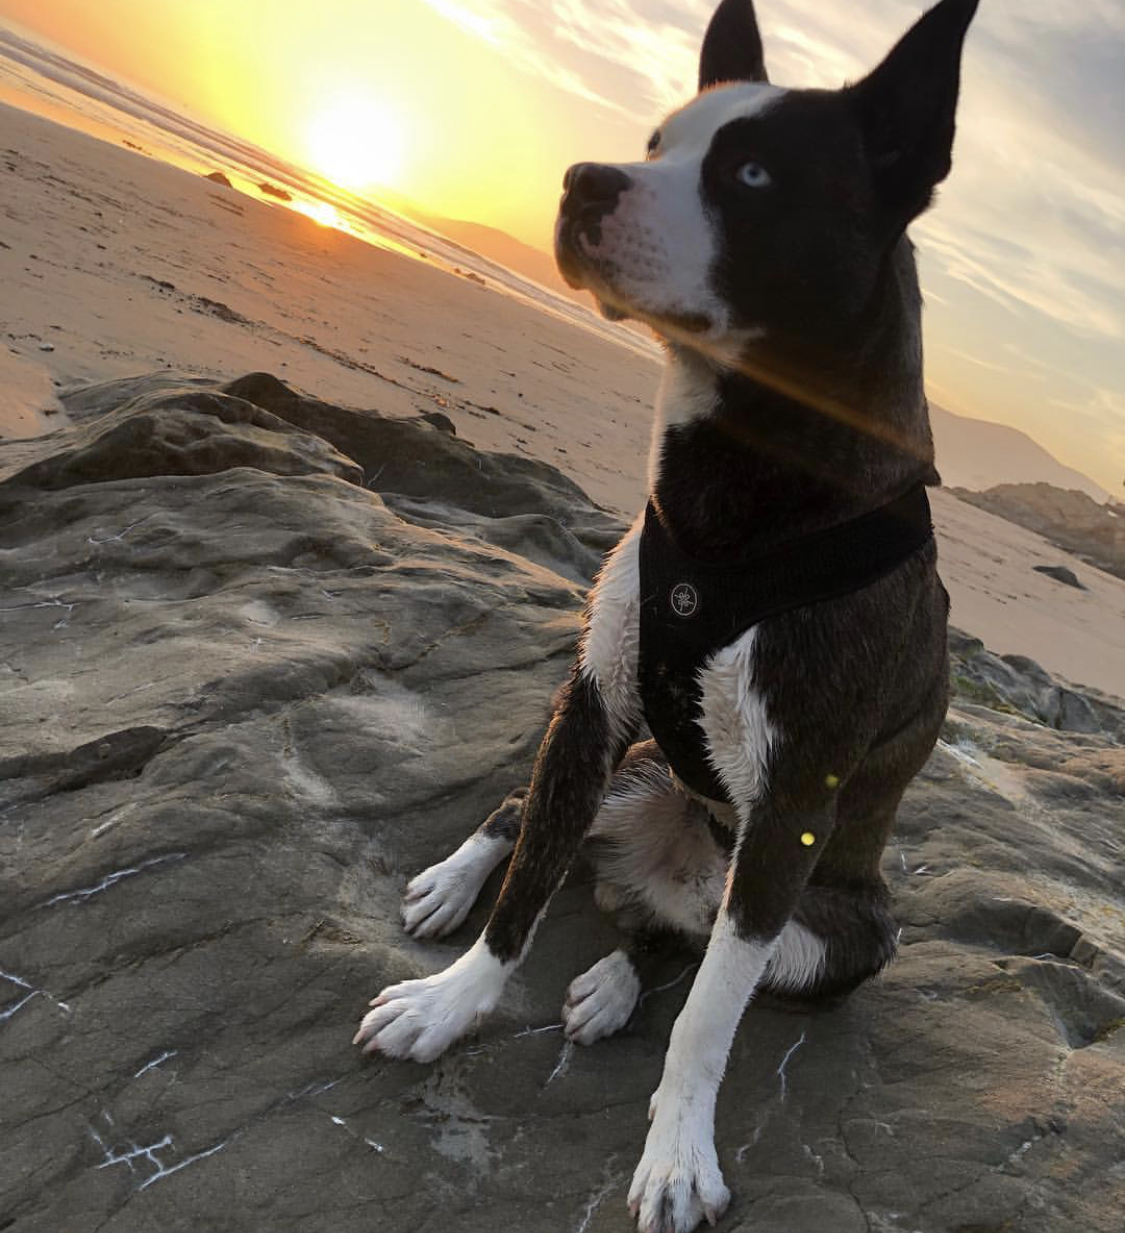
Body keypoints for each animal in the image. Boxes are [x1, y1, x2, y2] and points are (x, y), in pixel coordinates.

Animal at [357, 2, 976, 1233]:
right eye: (653, 143)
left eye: (752, 173)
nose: (581, 180)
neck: (738, 480)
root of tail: (663, 867)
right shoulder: (598, 704)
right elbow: (526, 888)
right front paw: (451, 1004)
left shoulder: (792, 807)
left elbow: (710, 1022)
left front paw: (677, 1152)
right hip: (635, 766)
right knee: (527, 816)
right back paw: (462, 880)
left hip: (850, 930)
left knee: (694, 950)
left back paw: (614, 976)